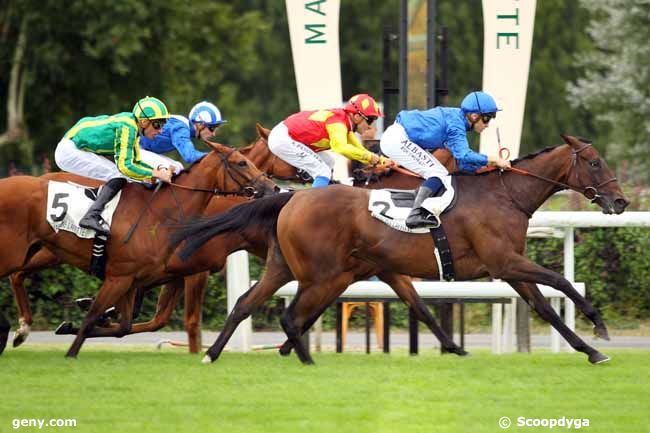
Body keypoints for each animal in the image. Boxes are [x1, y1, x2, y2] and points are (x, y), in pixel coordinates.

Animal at [0, 143, 276, 356]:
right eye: (241, 163)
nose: (273, 188)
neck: (161, 212)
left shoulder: (137, 278)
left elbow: (126, 324)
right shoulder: (125, 276)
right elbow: (98, 317)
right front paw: (72, 348)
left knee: (18, 276)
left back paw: (22, 329)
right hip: (26, 254)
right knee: (16, 275)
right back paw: (20, 329)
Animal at [176, 135, 628, 364]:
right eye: (594, 163)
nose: (621, 201)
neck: (506, 195)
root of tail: (292, 199)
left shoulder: (509, 268)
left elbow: (546, 307)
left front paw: (590, 350)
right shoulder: (505, 262)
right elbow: (560, 282)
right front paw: (598, 326)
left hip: (288, 268)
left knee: (247, 303)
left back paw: (214, 354)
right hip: (325, 275)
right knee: (291, 315)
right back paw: (302, 358)